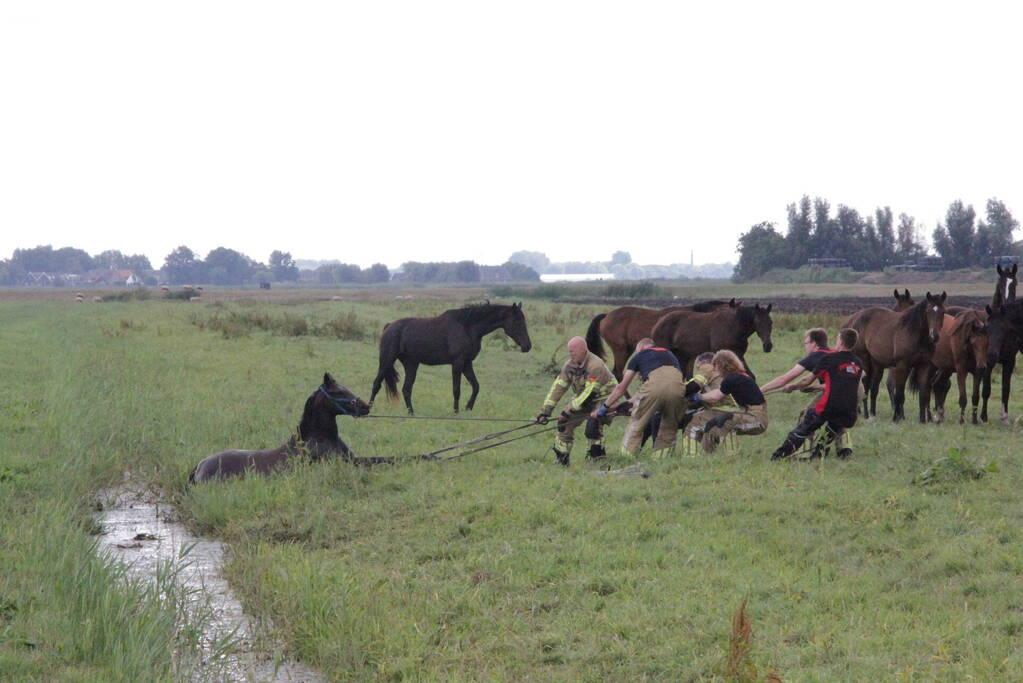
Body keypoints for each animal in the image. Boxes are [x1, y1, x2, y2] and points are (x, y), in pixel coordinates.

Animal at [190, 373, 396, 484]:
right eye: (338, 391)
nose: (365, 406)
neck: (319, 438)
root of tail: (200, 466)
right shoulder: (348, 463)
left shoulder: (353, 458)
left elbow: (386, 459)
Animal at [369, 302, 531, 415]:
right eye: (517, 321)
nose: (527, 346)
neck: (467, 327)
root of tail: (389, 326)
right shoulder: (458, 363)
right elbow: (456, 389)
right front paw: (456, 411)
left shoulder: (467, 363)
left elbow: (476, 386)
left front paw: (468, 407)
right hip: (387, 360)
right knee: (377, 383)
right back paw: (369, 409)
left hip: (411, 364)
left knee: (406, 389)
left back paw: (411, 413)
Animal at [585, 299, 738, 379]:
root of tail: (606, 315)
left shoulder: (690, 356)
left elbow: (689, 375)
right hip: (620, 350)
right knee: (618, 373)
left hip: (627, 349)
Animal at [843, 292, 946, 422]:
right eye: (928, 312)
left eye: (943, 312)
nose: (934, 336)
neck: (914, 334)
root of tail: (855, 320)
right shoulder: (902, 366)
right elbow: (899, 393)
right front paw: (896, 418)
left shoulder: (924, 366)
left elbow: (923, 394)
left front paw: (923, 420)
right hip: (864, 359)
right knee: (865, 385)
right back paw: (866, 414)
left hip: (877, 365)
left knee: (874, 388)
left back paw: (873, 413)